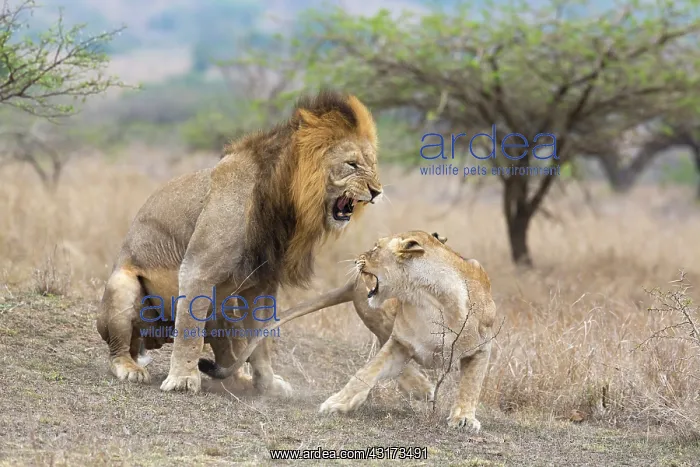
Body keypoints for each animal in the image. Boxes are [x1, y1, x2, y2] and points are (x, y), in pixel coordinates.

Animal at [95, 89, 383, 395]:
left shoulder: (263, 284)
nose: (377, 191)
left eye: (372, 165)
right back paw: (130, 369)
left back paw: (239, 381)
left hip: (225, 304)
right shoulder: (197, 270)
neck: (283, 201)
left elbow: (260, 339)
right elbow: (189, 332)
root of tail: (153, 340)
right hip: (122, 288)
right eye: (352, 165)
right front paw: (183, 379)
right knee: (119, 349)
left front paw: (267, 383)